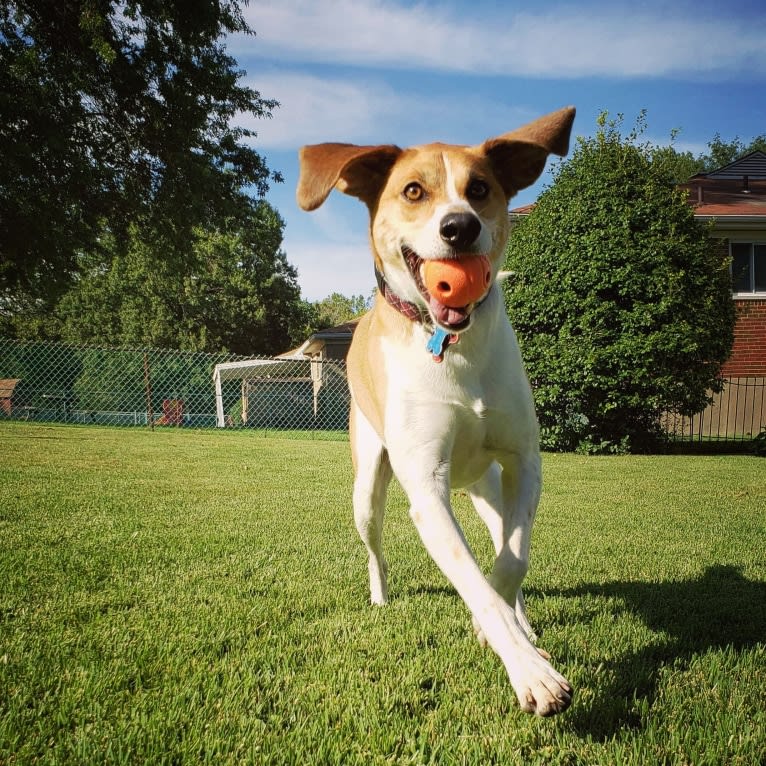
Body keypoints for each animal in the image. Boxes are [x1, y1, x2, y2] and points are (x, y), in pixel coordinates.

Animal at [298, 108, 576, 720]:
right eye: (412, 191)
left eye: (481, 190)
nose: (460, 227)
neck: (453, 347)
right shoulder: (427, 488)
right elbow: (474, 579)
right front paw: (531, 674)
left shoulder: (524, 463)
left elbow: (509, 564)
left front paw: (506, 632)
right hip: (367, 487)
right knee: (374, 547)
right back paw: (380, 595)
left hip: (488, 487)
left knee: (504, 545)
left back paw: (523, 621)